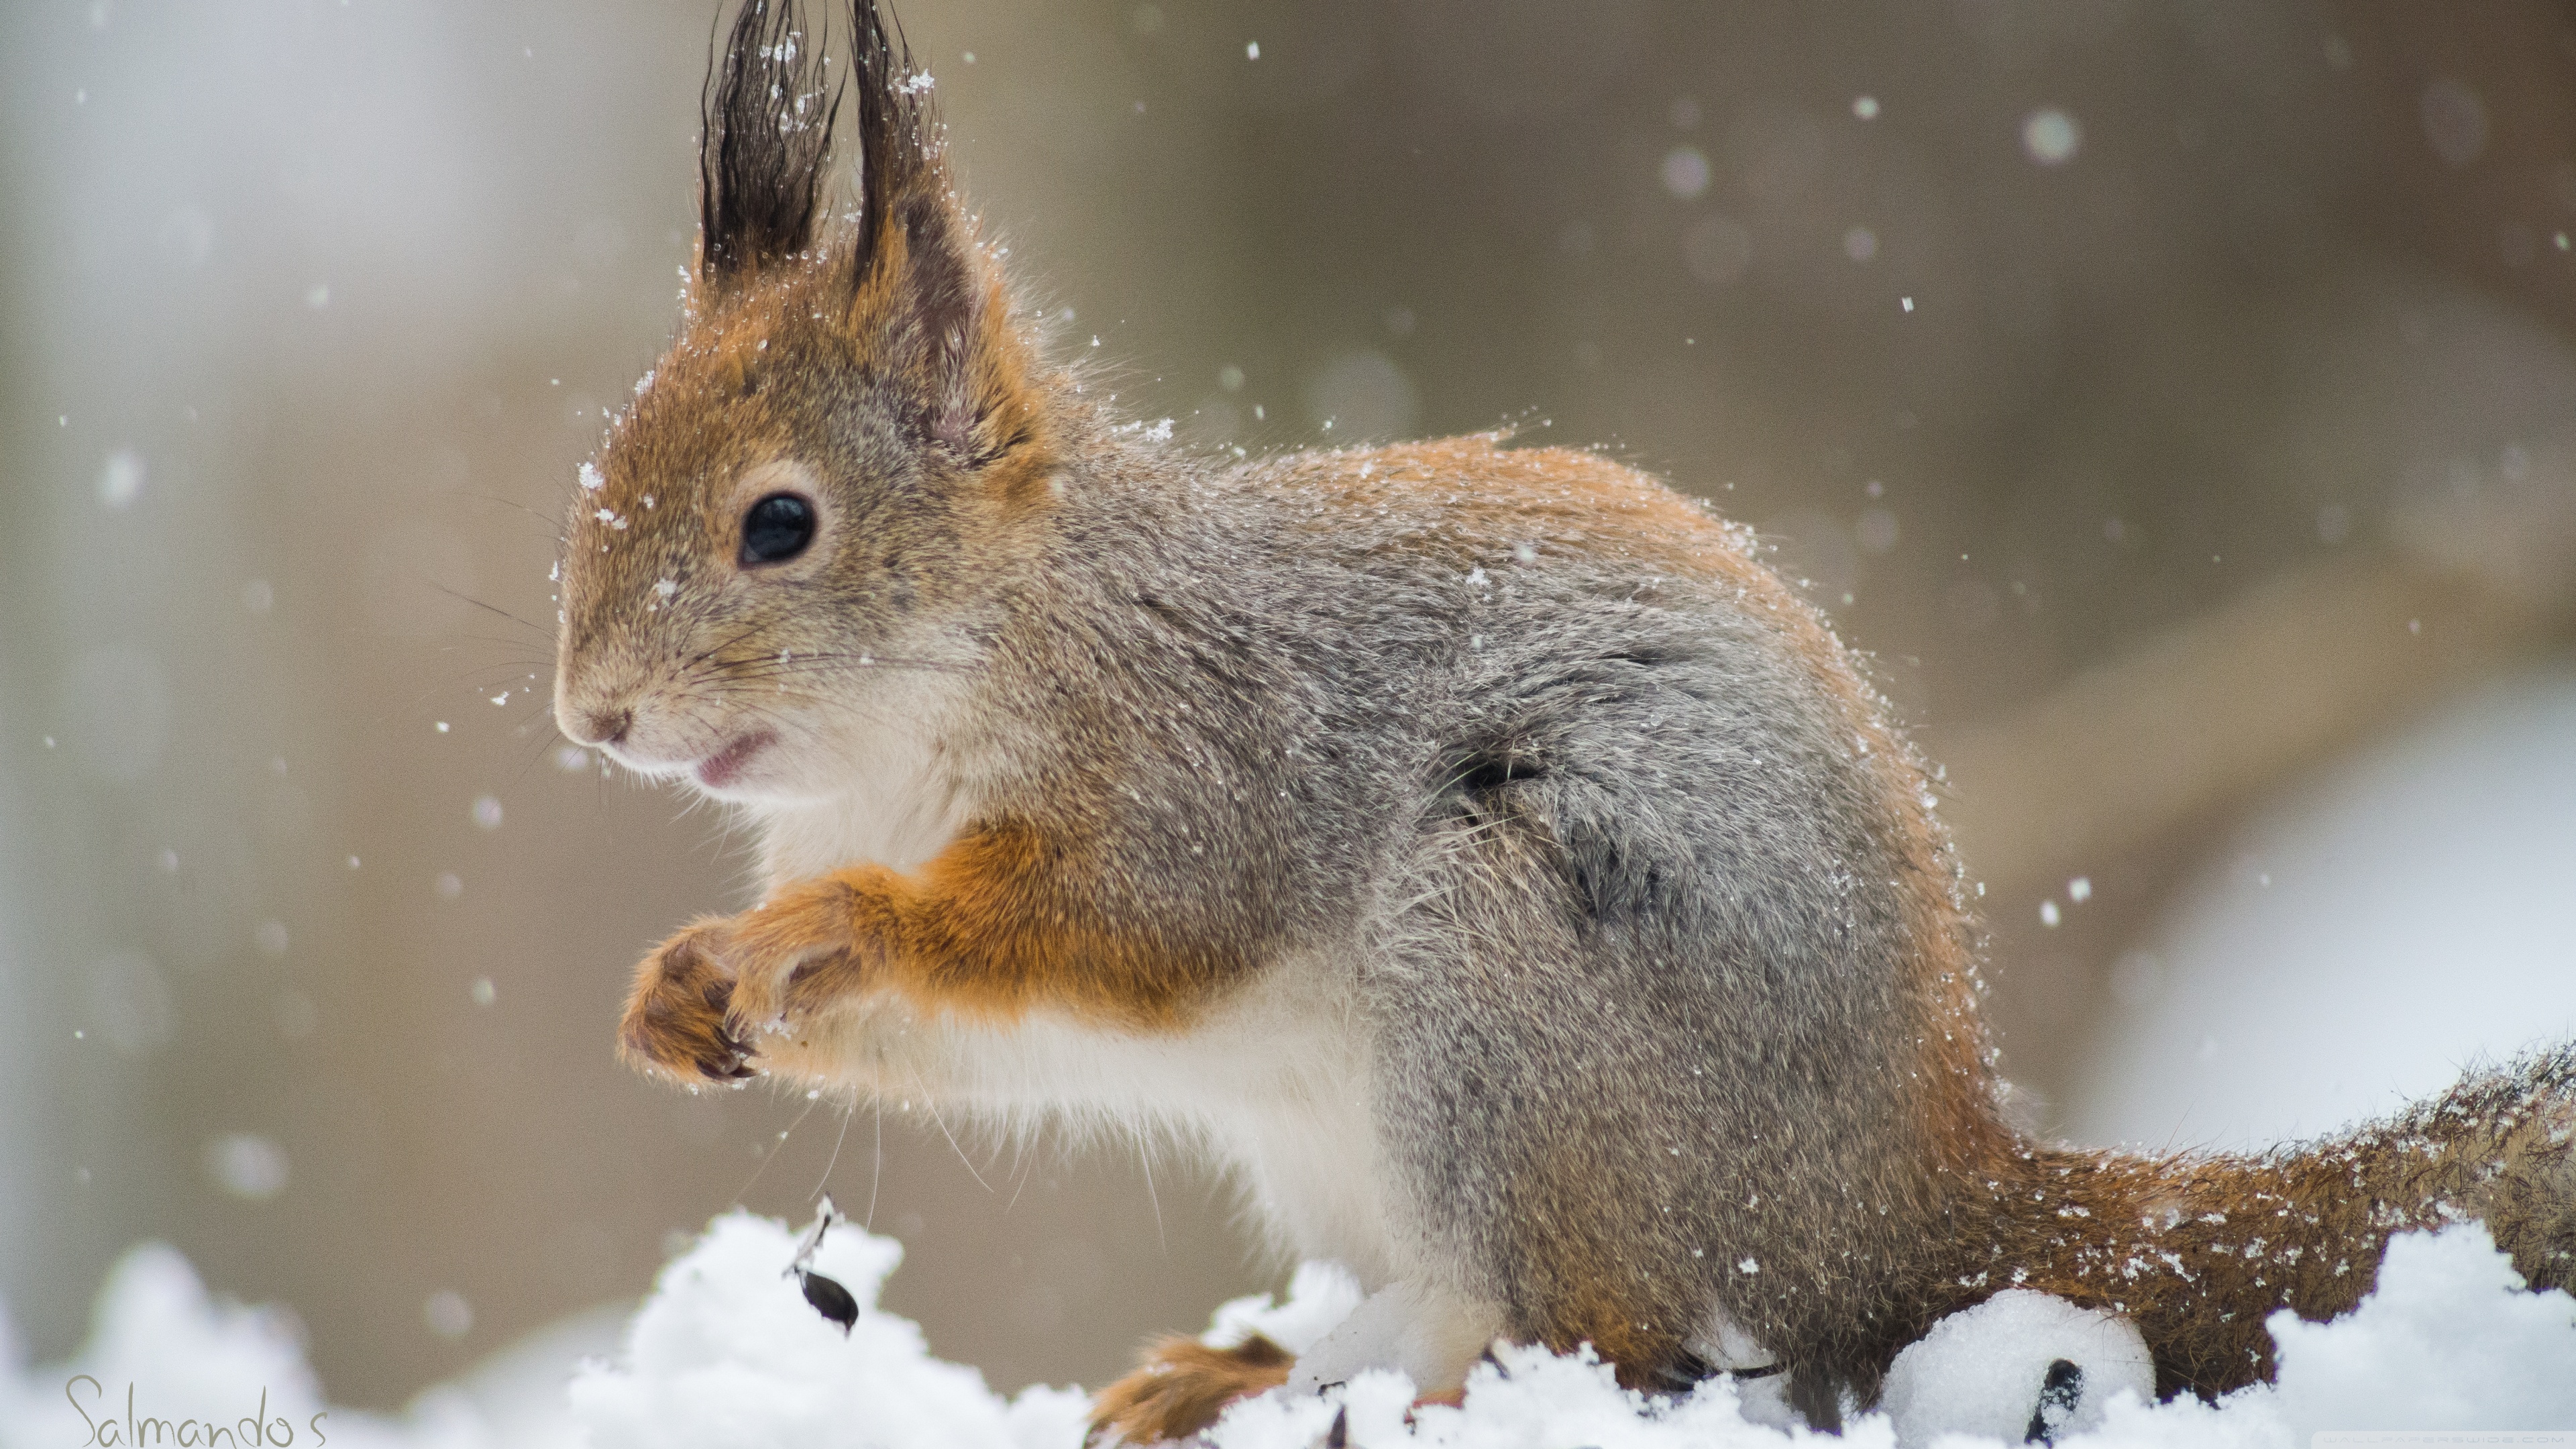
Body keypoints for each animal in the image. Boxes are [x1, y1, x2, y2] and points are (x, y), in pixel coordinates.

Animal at [550, 2, 2576, 1439]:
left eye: (780, 525)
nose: (592, 716)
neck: (947, 696)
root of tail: (1914, 1201)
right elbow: (953, 1033)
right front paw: (679, 992)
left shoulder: (1212, 768)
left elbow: (1115, 923)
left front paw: (828, 925)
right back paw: (1245, 1375)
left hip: (1510, 958)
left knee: (1601, 1335)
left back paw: (1384, 1392)